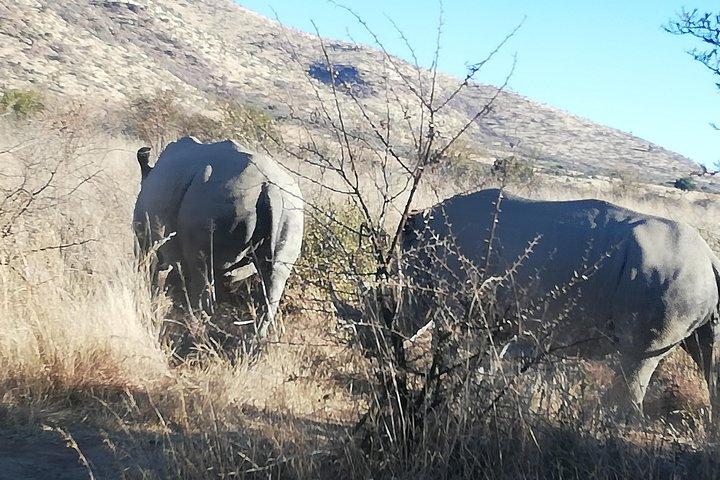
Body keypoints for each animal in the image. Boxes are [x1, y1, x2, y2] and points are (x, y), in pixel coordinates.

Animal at [133, 137, 304, 337]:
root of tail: (270, 188)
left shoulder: (144, 239)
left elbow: (147, 268)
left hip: (217, 202)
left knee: (201, 271)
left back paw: (195, 329)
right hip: (291, 210)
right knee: (274, 279)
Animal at [402, 188, 720, 416]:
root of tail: (709, 257)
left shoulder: (456, 299)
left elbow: (450, 348)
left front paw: (443, 388)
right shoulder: (498, 316)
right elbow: (486, 358)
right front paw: (475, 392)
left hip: (671, 280)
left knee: (636, 359)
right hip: (687, 283)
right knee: (703, 356)